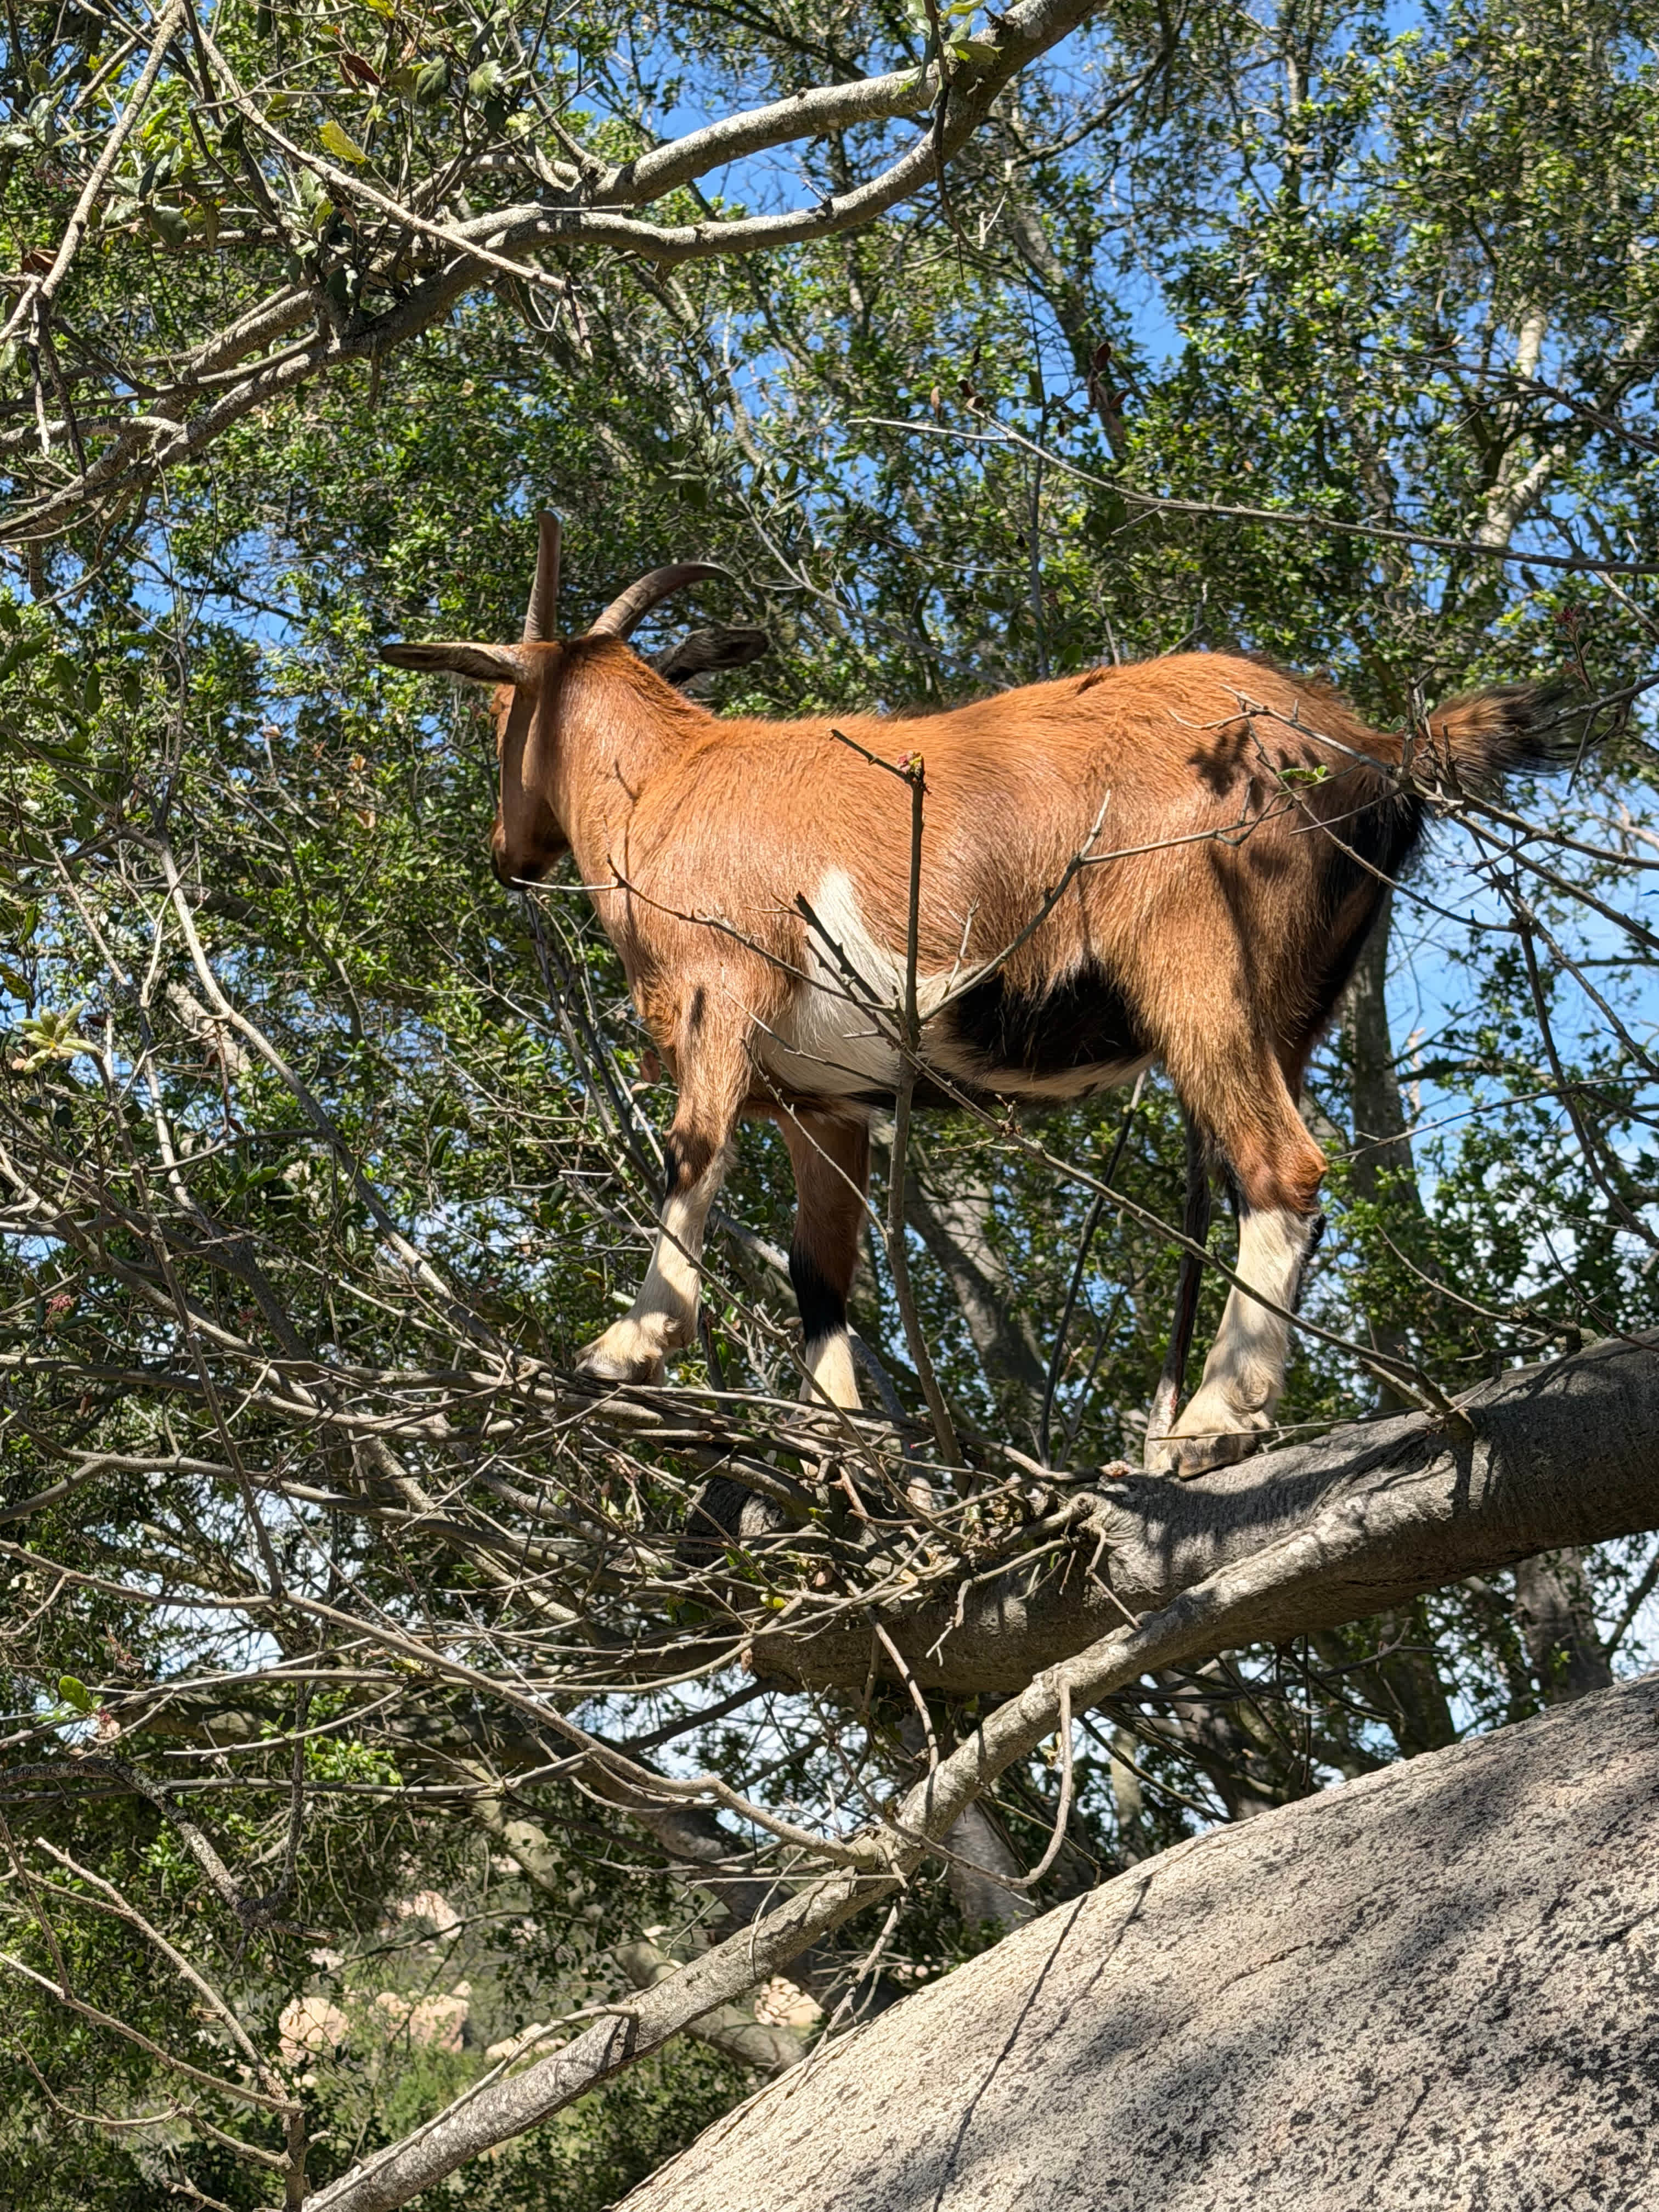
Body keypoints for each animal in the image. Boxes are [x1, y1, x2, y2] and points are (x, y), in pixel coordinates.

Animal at [384, 515, 1575, 1474]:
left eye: (499, 724)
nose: (505, 853)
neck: (671, 780)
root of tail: (1371, 747)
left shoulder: (720, 996)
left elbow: (690, 1155)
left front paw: (626, 1348)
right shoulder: (823, 1101)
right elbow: (821, 1273)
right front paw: (843, 1440)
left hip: (1196, 966)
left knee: (1280, 1165)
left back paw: (1212, 1423)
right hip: (1295, 1000)